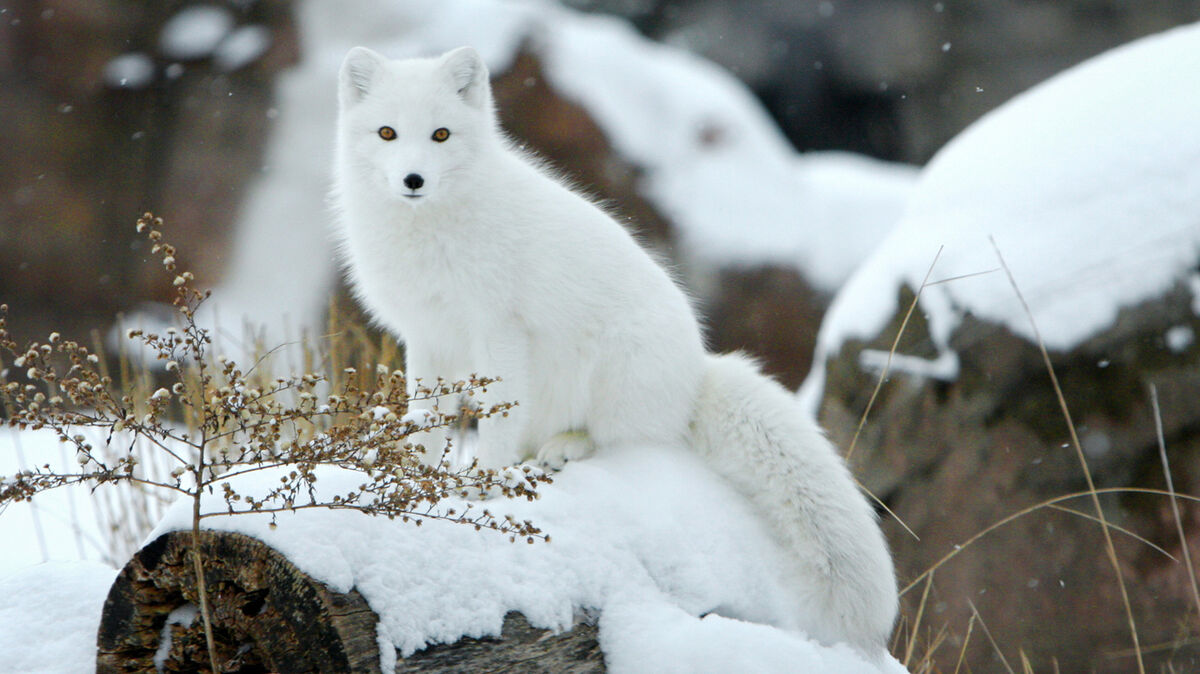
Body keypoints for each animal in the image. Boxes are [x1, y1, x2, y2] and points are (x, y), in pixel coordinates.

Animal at [333, 45, 897, 652]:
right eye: (387, 132)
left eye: (441, 134)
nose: (413, 179)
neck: (429, 233)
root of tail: (696, 377)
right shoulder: (428, 338)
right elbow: (425, 419)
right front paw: (413, 478)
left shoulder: (499, 329)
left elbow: (498, 419)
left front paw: (485, 485)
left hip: (612, 367)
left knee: (619, 440)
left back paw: (564, 447)